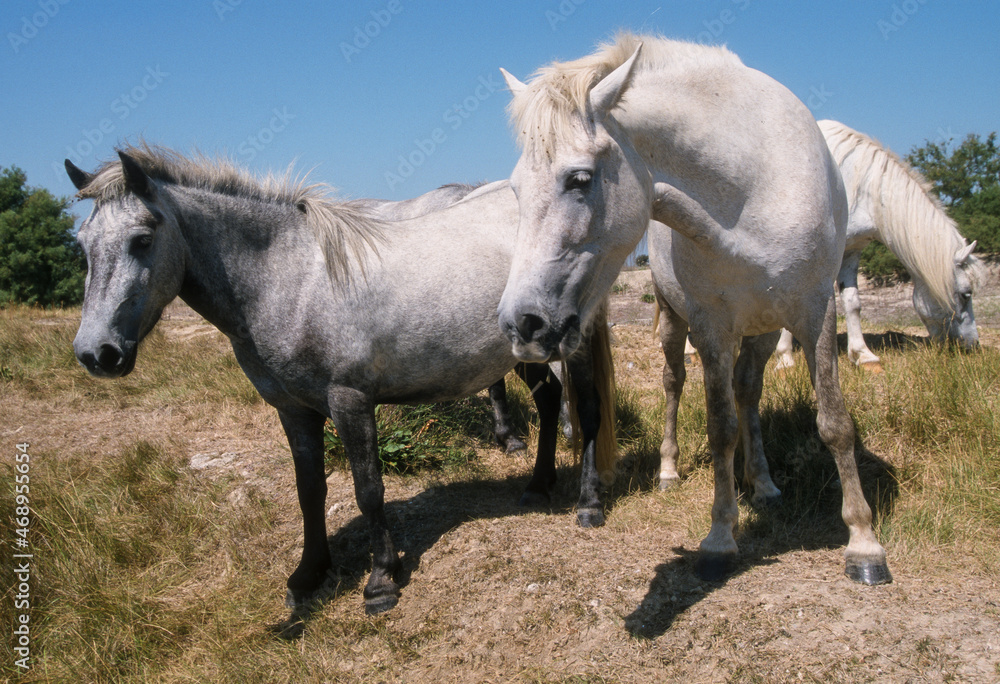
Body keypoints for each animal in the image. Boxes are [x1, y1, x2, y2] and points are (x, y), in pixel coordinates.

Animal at [64, 146, 617, 615]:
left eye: (142, 239)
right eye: (83, 246)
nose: (97, 353)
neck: (288, 279)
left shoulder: (350, 401)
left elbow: (368, 488)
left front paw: (381, 581)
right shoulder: (293, 410)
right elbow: (309, 490)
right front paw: (309, 575)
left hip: (573, 341)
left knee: (587, 409)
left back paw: (588, 504)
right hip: (522, 346)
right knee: (550, 400)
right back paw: (538, 486)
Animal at [497, 33, 891, 585]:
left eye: (579, 179)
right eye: (515, 188)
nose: (521, 324)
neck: (748, 189)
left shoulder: (815, 312)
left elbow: (834, 423)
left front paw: (863, 543)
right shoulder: (711, 327)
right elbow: (720, 426)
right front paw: (721, 538)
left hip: (764, 329)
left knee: (749, 391)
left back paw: (763, 483)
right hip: (676, 326)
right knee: (674, 385)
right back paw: (670, 470)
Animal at [775, 120, 983, 368]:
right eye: (966, 294)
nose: (973, 345)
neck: (849, 179)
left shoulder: (850, 251)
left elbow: (853, 302)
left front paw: (863, 355)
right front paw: (785, 358)